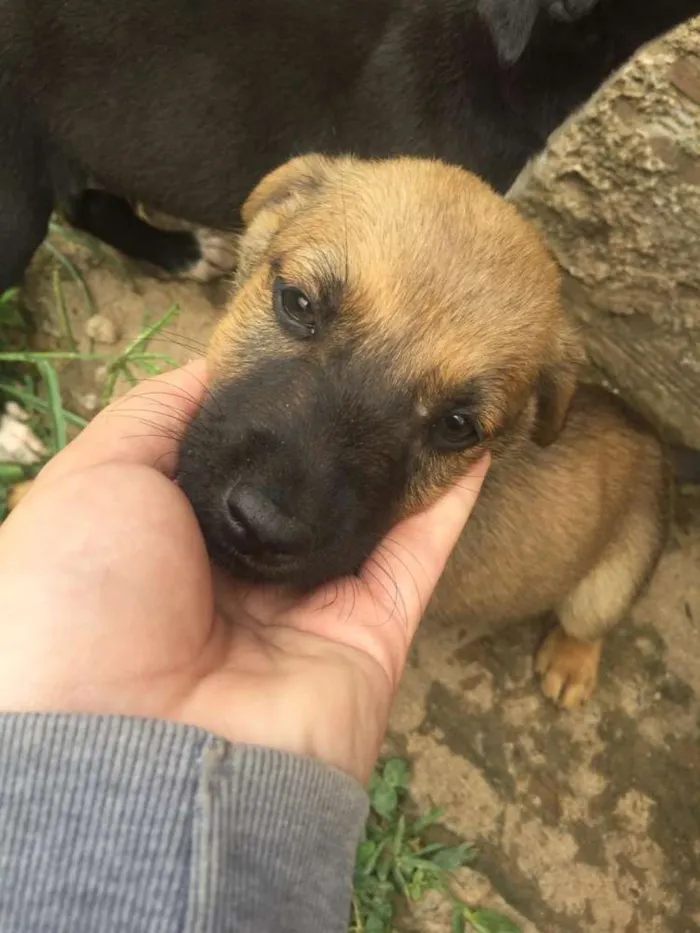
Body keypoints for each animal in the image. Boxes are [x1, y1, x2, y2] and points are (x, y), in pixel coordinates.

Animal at [175, 155, 668, 708]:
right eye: (298, 304)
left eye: (456, 426)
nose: (262, 526)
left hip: (614, 577)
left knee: (590, 623)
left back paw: (572, 663)